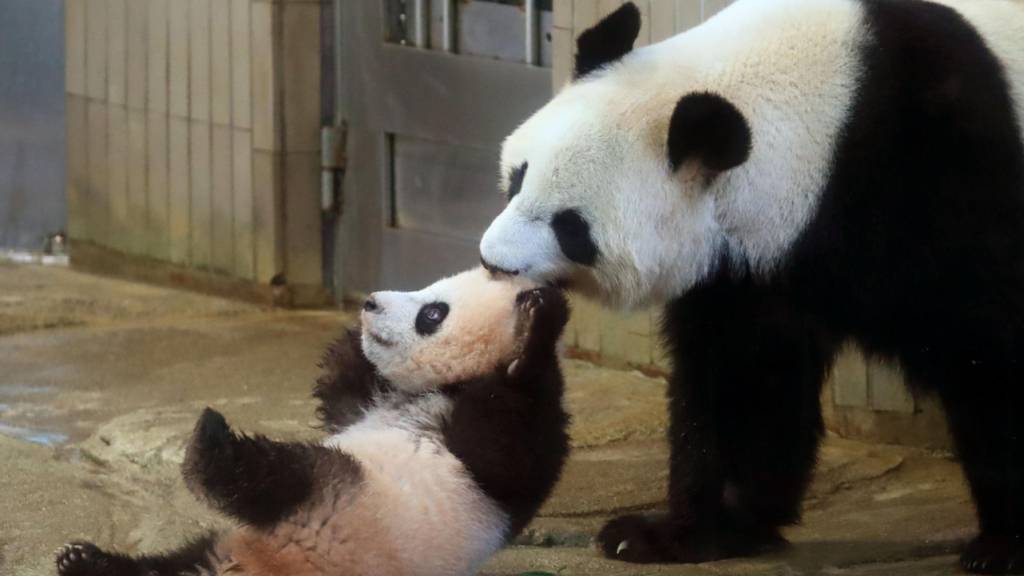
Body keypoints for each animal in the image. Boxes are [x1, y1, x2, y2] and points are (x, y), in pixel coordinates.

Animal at [479, 1, 1024, 569]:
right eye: (517, 178)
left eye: (571, 227)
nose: (493, 262)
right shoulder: (753, 259)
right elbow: (745, 372)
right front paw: (684, 532)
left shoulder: (938, 172)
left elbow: (989, 350)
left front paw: (1002, 545)